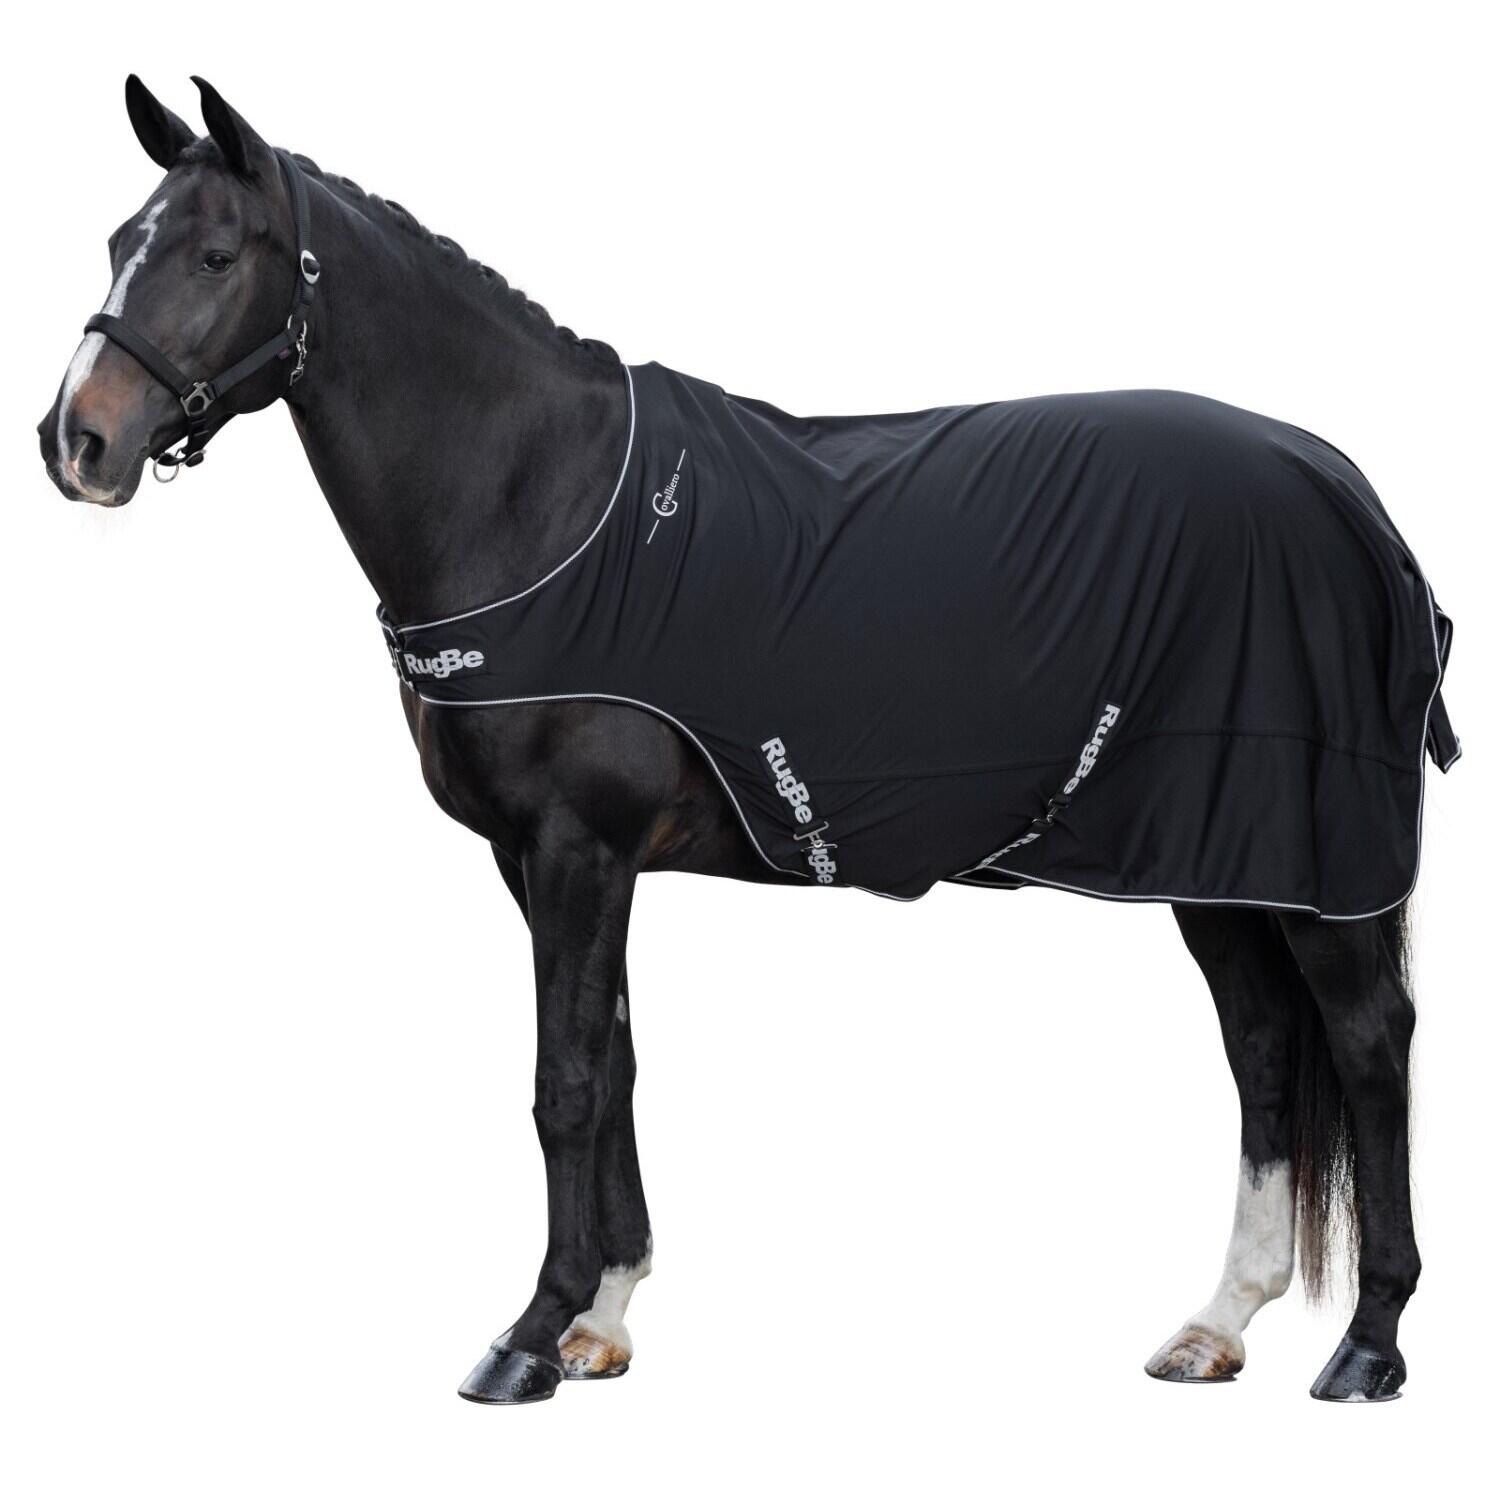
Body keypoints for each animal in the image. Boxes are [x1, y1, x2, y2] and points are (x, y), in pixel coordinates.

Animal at [39, 76, 1456, 1406]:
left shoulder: (576, 847)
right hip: (1216, 855)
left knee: (1368, 1040)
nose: (77, 441)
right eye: (118, 240)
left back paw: (1370, 1345)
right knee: (1264, 1044)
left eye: (216, 255)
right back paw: (1221, 1322)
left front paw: (527, 1337)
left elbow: (564, 1079)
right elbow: (613, 1060)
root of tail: (1350, 497)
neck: (539, 501)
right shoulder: (547, 860)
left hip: (1301, 854)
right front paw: (601, 1319)